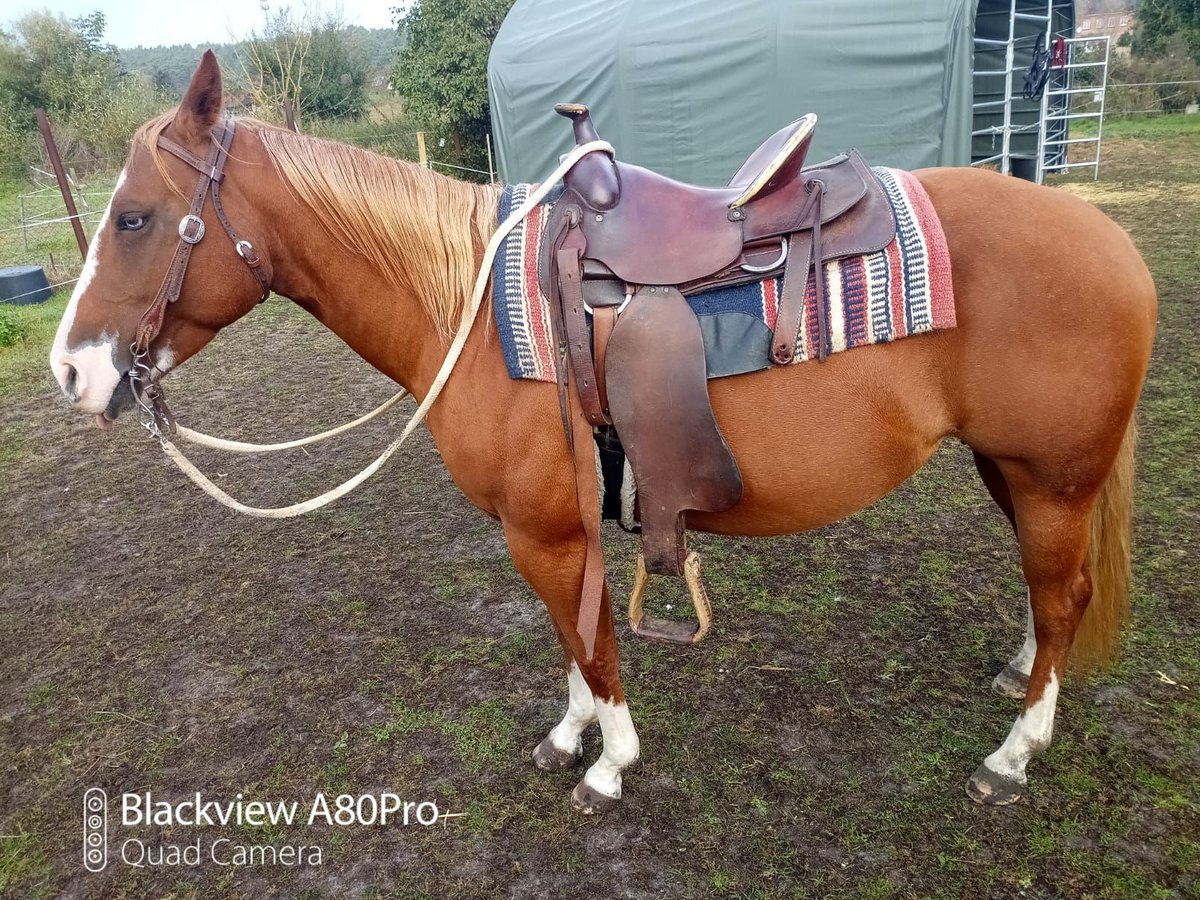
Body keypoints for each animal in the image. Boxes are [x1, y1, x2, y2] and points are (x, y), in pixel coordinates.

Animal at [49, 56, 1161, 816]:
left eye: (136, 219)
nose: (69, 371)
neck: (475, 308)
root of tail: (1111, 236)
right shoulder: (555, 536)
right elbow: (571, 641)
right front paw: (572, 733)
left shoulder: (545, 532)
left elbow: (592, 641)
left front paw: (611, 764)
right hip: (1015, 472)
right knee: (1050, 592)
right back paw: (1021, 675)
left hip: (1052, 477)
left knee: (1064, 594)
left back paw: (1013, 753)